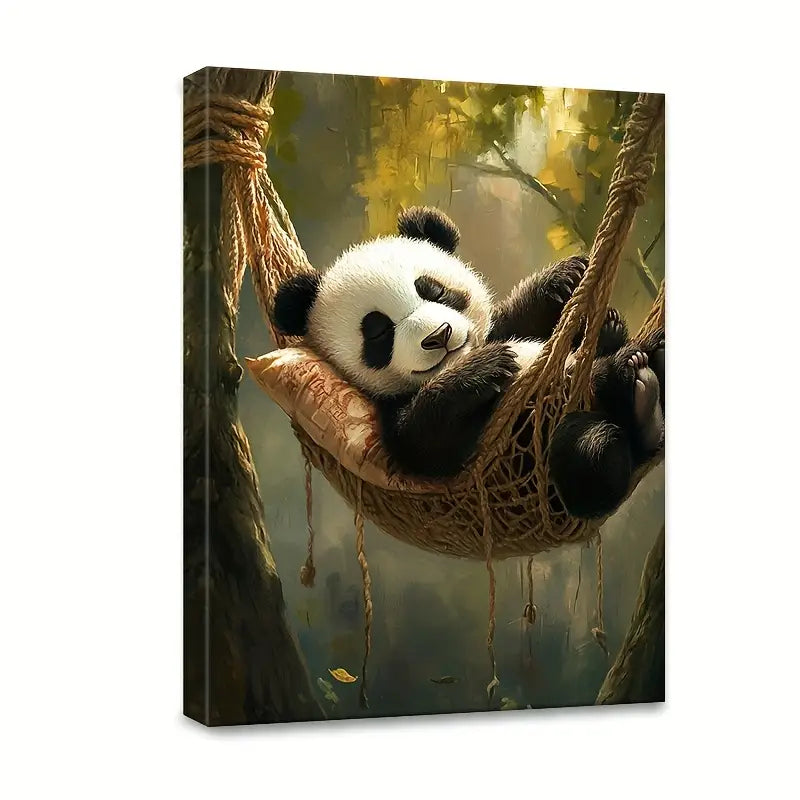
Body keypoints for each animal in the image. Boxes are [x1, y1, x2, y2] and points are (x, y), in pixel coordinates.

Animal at [270, 206, 665, 519]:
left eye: (433, 290)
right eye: (379, 331)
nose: (438, 336)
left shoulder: (499, 330)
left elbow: (515, 321)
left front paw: (566, 276)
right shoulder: (400, 429)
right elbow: (424, 439)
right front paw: (484, 370)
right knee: (587, 457)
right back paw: (631, 385)